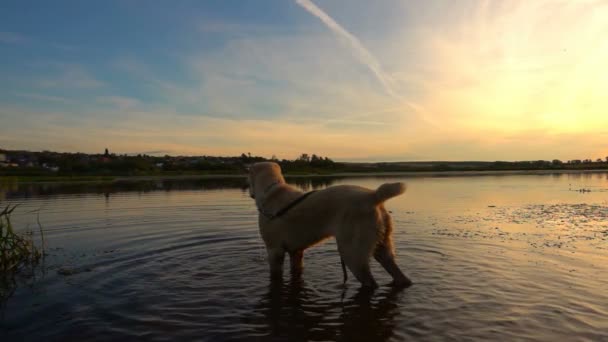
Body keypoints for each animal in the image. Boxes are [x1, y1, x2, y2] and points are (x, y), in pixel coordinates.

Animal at [247, 162, 414, 288]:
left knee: (370, 282)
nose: (250, 193)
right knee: (400, 276)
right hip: (382, 245)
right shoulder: (296, 251)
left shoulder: (274, 250)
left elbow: (275, 276)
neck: (271, 191)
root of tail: (374, 196)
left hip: (352, 252)